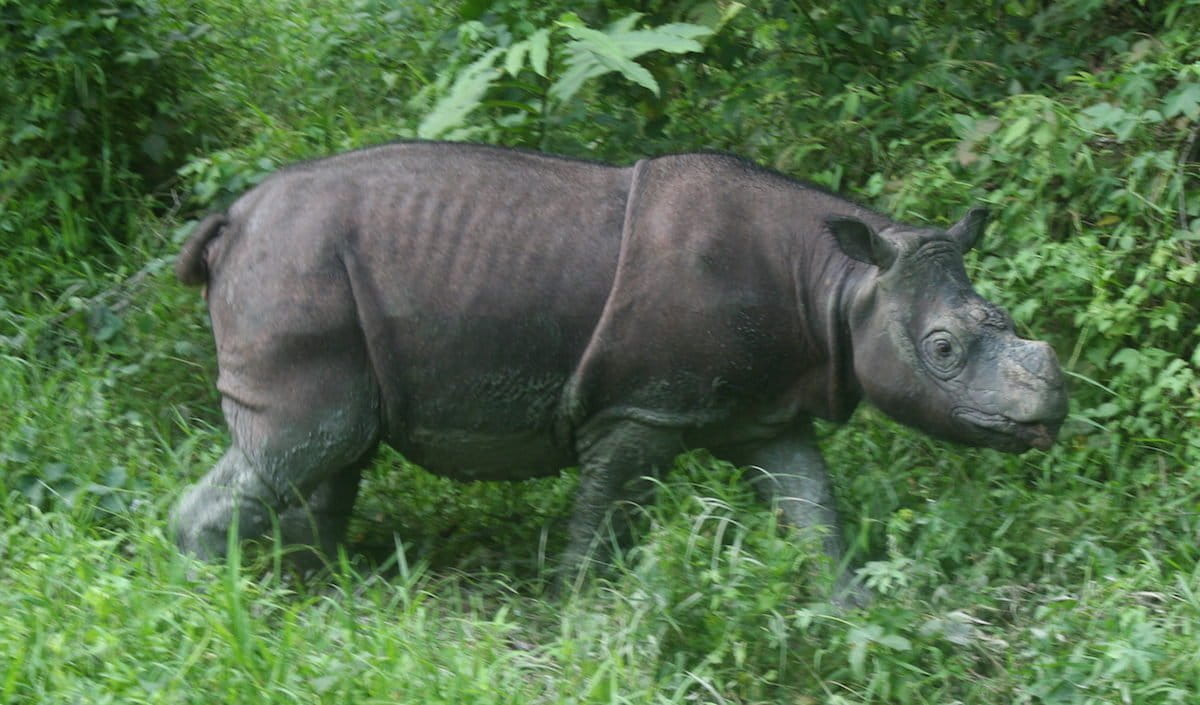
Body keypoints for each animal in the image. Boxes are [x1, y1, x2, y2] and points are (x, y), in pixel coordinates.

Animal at [169, 142, 1070, 594]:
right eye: (943, 350)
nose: (1051, 412)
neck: (841, 283)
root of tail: (232, 218)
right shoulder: (641, 407)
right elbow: (604, 517)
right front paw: (582, 614)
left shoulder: (766, 412)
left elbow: (814, 512)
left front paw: (849, 606)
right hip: (293, 266)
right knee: (302, 444)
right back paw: (219, 602)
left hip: (310, 274)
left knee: (333, 453)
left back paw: (320, 592)